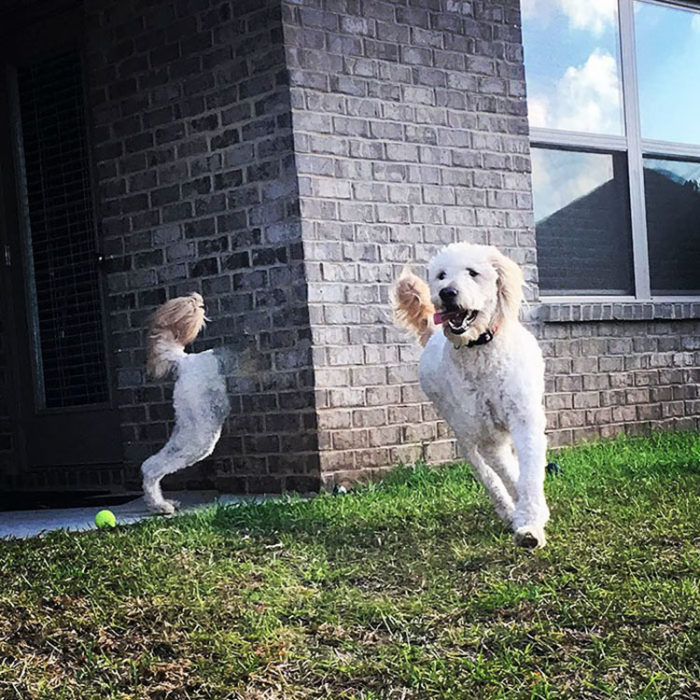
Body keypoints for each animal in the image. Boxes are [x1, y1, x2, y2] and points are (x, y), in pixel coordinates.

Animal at [141, 290, 231, 516]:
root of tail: (185, 361)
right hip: (202, 435)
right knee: (153, 466)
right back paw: (160, 506)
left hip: (189, 427)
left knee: (150, 464)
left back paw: (160, 503)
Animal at [394, 243, 548, 548]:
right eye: (441, 275)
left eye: (473, 272)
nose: (447, 292)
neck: (480, 350)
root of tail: (433, 336)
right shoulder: (487, 436)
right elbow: (510, 474)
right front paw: (524, 517)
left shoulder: (525, 420)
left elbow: (528, 474)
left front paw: (531, 522)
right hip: (464, 433)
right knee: (488, 477)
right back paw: (507, 510)